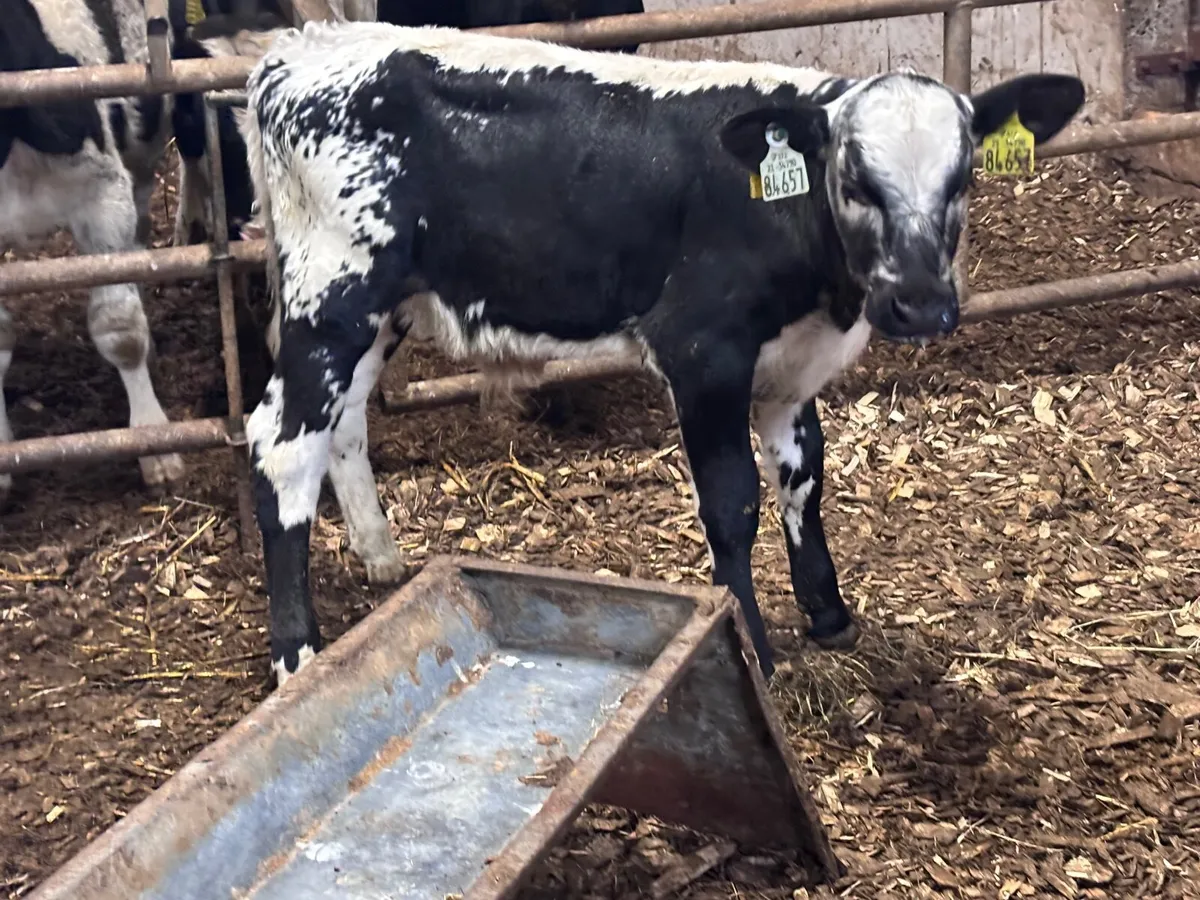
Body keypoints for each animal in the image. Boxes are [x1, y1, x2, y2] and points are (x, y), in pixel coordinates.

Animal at [237, 23, 1084, 685]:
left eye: (963, 177)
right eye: (855, 179)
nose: (919, 304)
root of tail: (298, 52)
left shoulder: (792, 364)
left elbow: (805, 476)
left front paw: (829, 613)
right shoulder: (703, 351)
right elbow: (732, 503)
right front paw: (753, 646)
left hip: (380, 306)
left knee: (342, 425)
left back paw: (380, 557)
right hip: (335, 292)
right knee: (282, 446)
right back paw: (298, 656)